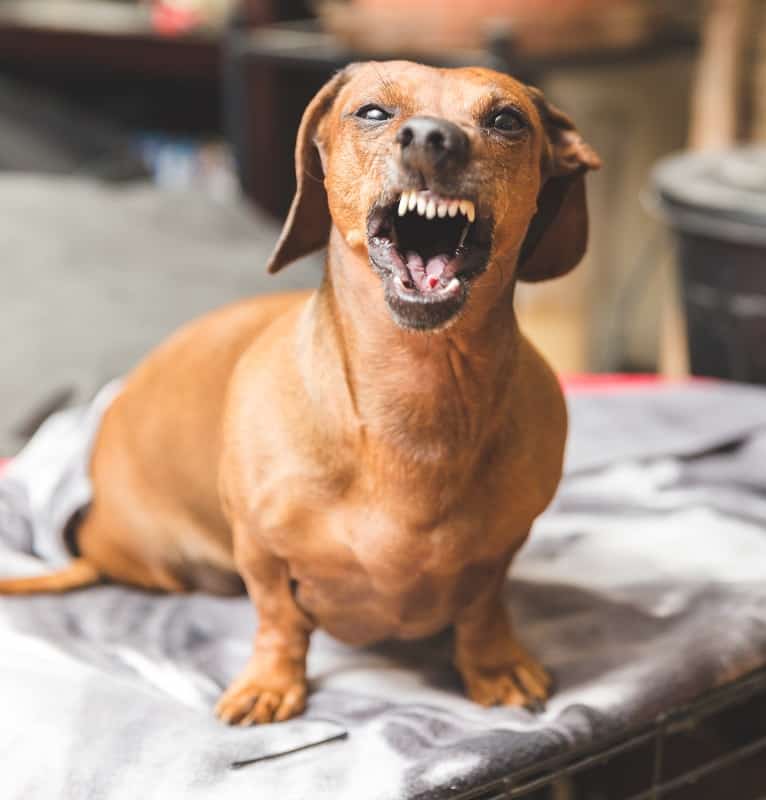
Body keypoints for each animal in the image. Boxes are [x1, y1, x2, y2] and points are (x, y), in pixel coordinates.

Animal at [0, 62, 600, 724]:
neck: (416, 396)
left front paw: (493, 664)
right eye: (372, 112)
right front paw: (271, 681)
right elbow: (279, 618)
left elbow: (484, 609)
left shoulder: (501, 552)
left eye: (507, 120)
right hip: (160, 566)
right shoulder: (260, 552)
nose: (433, 139)